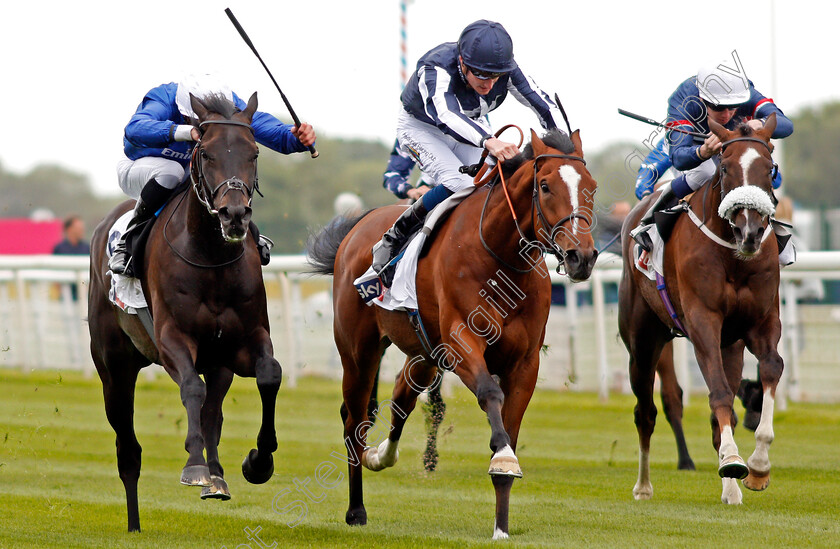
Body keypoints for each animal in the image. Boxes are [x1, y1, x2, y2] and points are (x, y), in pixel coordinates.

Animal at [90, 92, 282, 528]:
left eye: (254, 152)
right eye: (206, 152)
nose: (234, 214)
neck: (211, 258)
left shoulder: (243, 342)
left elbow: (269, 374)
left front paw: (258, 462)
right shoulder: (172, 339)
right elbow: (191, 387)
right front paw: (194, 466)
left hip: (218, 363)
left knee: (213, 413)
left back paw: (218, 478)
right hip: (114, 369)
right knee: (128, 449)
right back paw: (135, 523)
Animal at [312, 130, 600, 540]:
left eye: (591, 186)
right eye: (545, 186)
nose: (582, 257)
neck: (501, 258)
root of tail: (356, 230)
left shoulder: (524, 363)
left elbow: (509, 424)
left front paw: (501, 526)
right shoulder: (462, 343)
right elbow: (490, 394)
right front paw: (503, 458)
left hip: (424, 354)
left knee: (401, 398)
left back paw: (382, 456)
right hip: (358, 352)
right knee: (354, 422)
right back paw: (356, 510)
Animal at [616, 113, 788, 504]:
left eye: (770, 167)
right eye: (725, 167)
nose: (750, 231)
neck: (733, 256)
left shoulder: (761, 321)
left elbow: (772, 367)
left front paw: (757, 467)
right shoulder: (702, 321)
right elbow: (718, 392)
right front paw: (736, 464)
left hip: (731, 345)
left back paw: (730, 485)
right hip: (642, 342)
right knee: (645, 411)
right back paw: (643, 485)